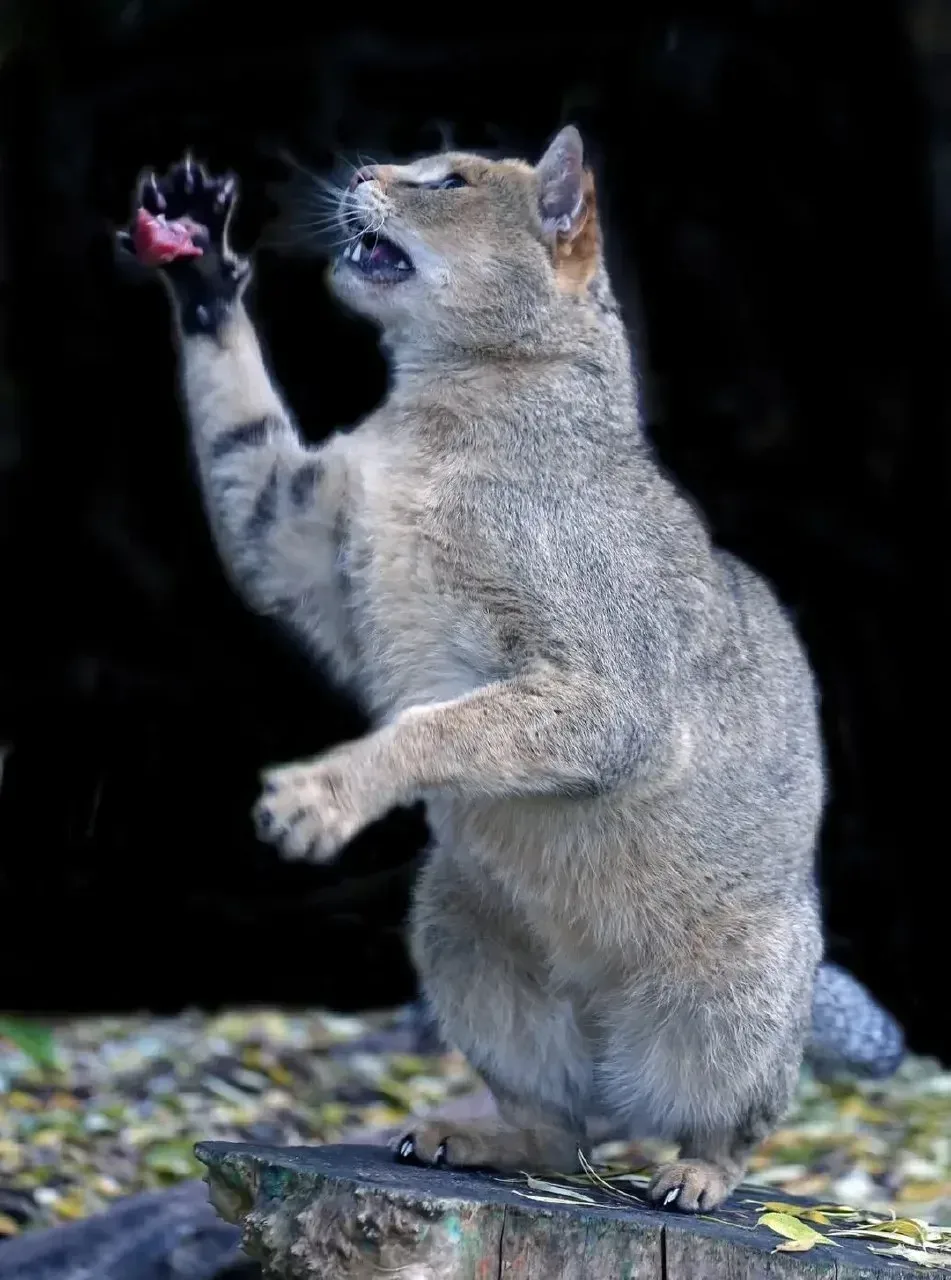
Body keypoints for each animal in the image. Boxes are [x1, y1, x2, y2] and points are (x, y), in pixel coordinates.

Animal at [116, 126, 904, 1213]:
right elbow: (241, 425)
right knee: (557, 1130)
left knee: (723, 1124)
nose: (362, 175)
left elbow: (445, 722)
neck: (434, 410)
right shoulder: (291, 535)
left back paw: (694, 1174)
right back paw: (474, 1136)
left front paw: (319, 798)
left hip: (734, 998)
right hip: (459, 931)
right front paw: (197, 262)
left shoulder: (602, 691)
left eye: (448, 178)